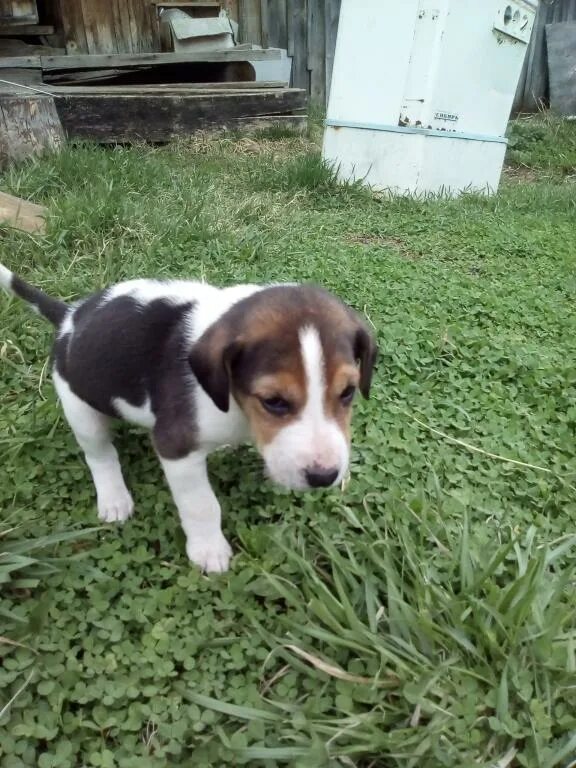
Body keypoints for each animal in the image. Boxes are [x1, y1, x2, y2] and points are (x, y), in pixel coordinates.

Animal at [0, 264, 378, 568]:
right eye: (273, 401)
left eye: (347, 392)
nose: (324, 476)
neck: (234, 403)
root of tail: (69, 317)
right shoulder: (176, 448)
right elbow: (201, 505)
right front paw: (209, 551)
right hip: (81, 409)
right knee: (101, 455)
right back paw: (114, 498)